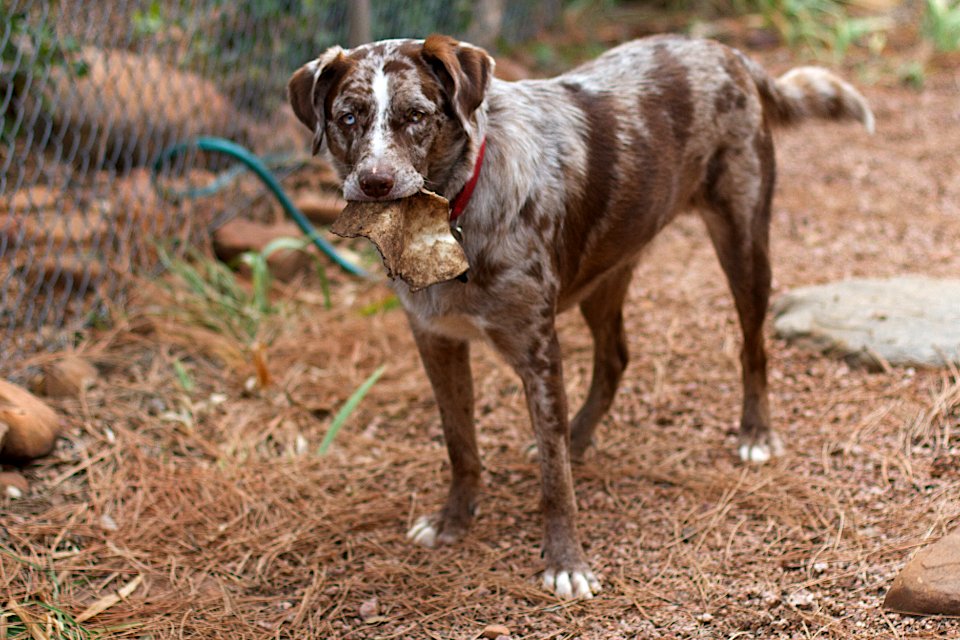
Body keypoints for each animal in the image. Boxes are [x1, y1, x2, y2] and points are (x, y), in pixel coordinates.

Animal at [284, 33, 872, 596]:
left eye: (416, 115)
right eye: (349, 117)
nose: (375, 181)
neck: (449, 222)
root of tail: (727, 52)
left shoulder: (538, 352)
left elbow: (554, 482)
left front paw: (566, 564)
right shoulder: (437, 343)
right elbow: (461, 446)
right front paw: (454, 520)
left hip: (744, 246)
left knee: (753, 348)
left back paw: (754, 433)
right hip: (605, 276)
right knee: (615, 358)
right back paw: (580, 435)